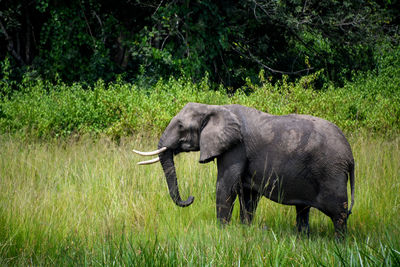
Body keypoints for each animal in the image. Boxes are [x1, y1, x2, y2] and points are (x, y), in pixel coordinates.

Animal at [134, 102, 356, 237]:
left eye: (180, 126)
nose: (191, 198)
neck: (215, 107)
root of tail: (350, 155)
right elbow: (248, 195)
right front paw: (245, 232)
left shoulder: (236, 148)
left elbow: (225, 186)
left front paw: (221, 232)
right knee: (303, 210)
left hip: (331, 172)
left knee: (339, 213)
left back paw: (339, 244)